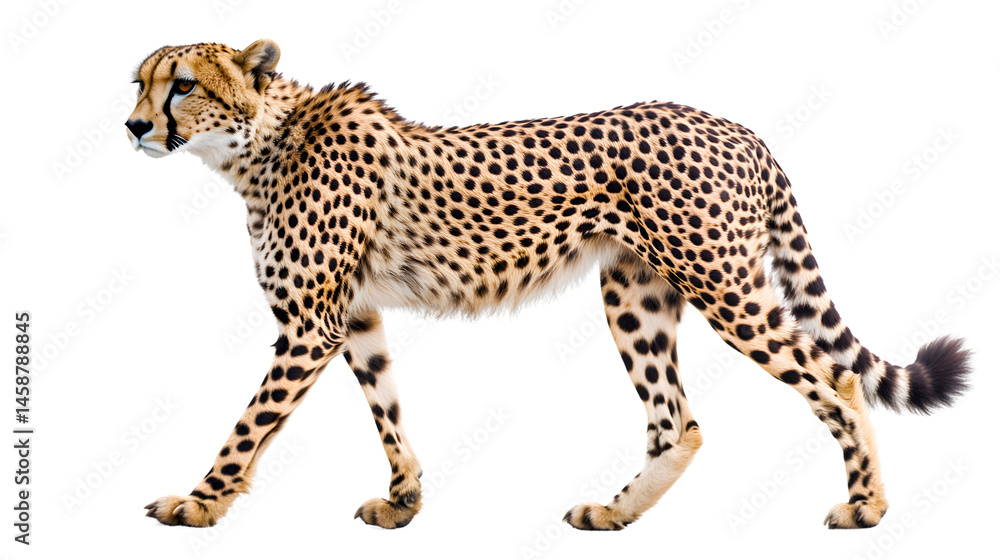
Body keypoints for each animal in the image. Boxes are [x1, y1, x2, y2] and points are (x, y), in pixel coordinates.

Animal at [128, 40, 971, 531]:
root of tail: (735, 125)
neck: (257, 144)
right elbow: (386, 407)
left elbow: (249, 425)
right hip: (635, 294)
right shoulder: (355, 317)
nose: (134, 127)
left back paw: (867, 504)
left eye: (183, 86)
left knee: (836, 379)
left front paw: (198, 501)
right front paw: (405, 499)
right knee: (678, 420)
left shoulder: (309, 324)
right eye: (138, 84)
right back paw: (614, 512)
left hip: (721, 284)